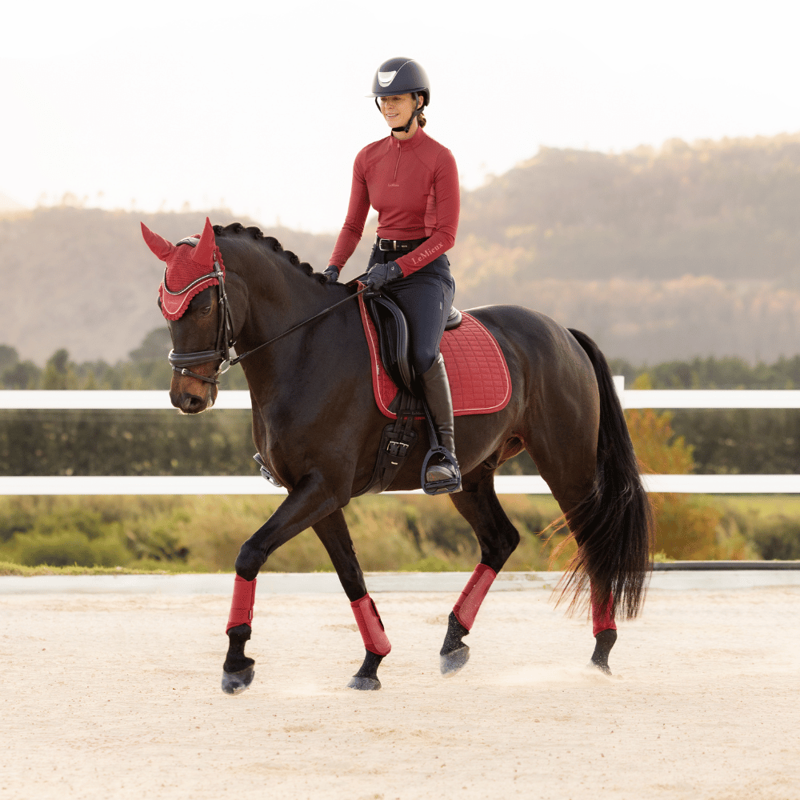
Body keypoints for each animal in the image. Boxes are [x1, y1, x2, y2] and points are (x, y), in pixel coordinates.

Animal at [142, 218, 654, 693]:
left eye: (204, 304)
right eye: (164, 305)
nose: (187, 397)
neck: (304, 348)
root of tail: (562, 332)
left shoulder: (323, 488)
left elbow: (250, 552)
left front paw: (235, 663)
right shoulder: (314, 493)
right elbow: (350, 573)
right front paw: (372, 662)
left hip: (567, 468)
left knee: (592, 541)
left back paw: (601, 652)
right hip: (470, 475)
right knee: (501, 539)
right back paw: (453, 641)